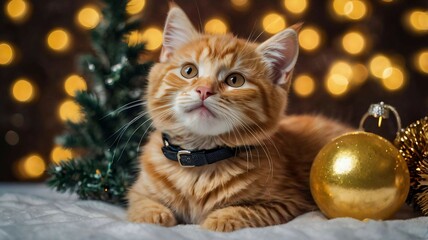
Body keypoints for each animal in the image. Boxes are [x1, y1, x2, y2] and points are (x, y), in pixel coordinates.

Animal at [126, 3, 352, 232]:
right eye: (189, 71)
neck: (199, 164)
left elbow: (243, 211)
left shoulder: (288, 201)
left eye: (235, 80)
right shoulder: (138, 190)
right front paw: (152, 215)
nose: (204, 90)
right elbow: (141, 203)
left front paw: (218, 221)